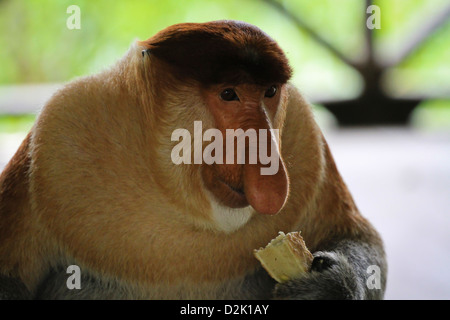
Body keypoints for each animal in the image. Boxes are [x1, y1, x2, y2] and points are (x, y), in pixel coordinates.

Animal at [0, 20, 386, 300]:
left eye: (270, 92)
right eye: (229, 94)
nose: (264, 151)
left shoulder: (304, 135)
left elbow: (359, 239)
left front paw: (329, 285)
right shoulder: (58, 132)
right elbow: (10, 277)